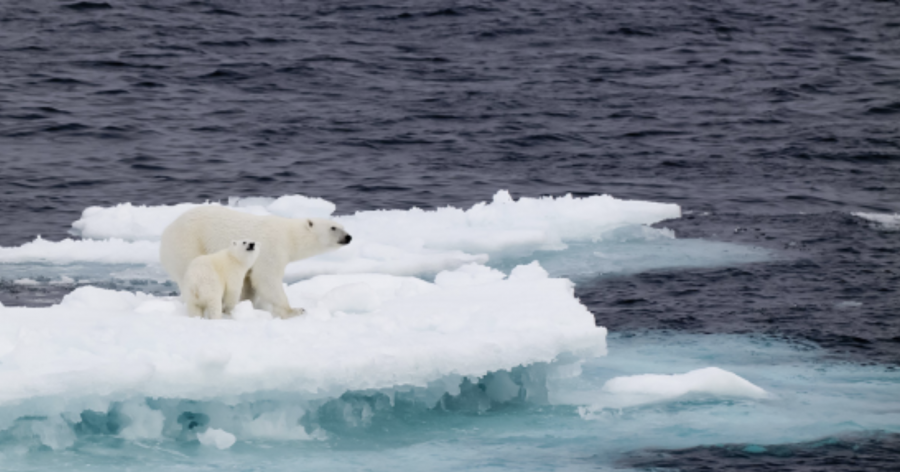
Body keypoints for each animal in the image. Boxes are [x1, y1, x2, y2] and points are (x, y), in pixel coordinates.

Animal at [160, 206, 350, 318]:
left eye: (343, 226)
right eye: (333, 228)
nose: (349, 237)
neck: (289, 236)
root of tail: (166, 231)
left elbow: (249, 283)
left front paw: (248, 304)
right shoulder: (272, 249)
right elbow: (267, 279)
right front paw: (294, 310)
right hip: (188, 243)